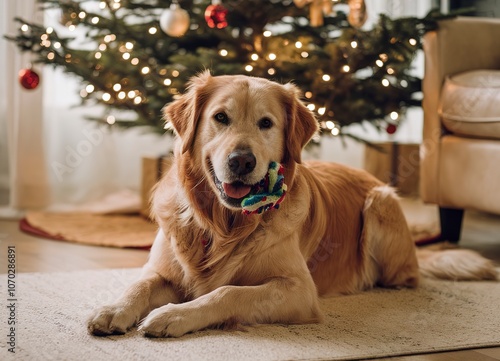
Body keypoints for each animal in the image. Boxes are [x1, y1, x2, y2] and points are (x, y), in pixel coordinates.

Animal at [87, 71, 496, 336]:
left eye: (266, 123)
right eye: (220, 117)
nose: (242, 161)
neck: (223, 225)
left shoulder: (299, 290)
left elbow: (228, 291)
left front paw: (171, 315)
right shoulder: (163, 269)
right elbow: (139, 285)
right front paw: (112, 309)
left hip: (380, 203)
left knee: (404, 277)